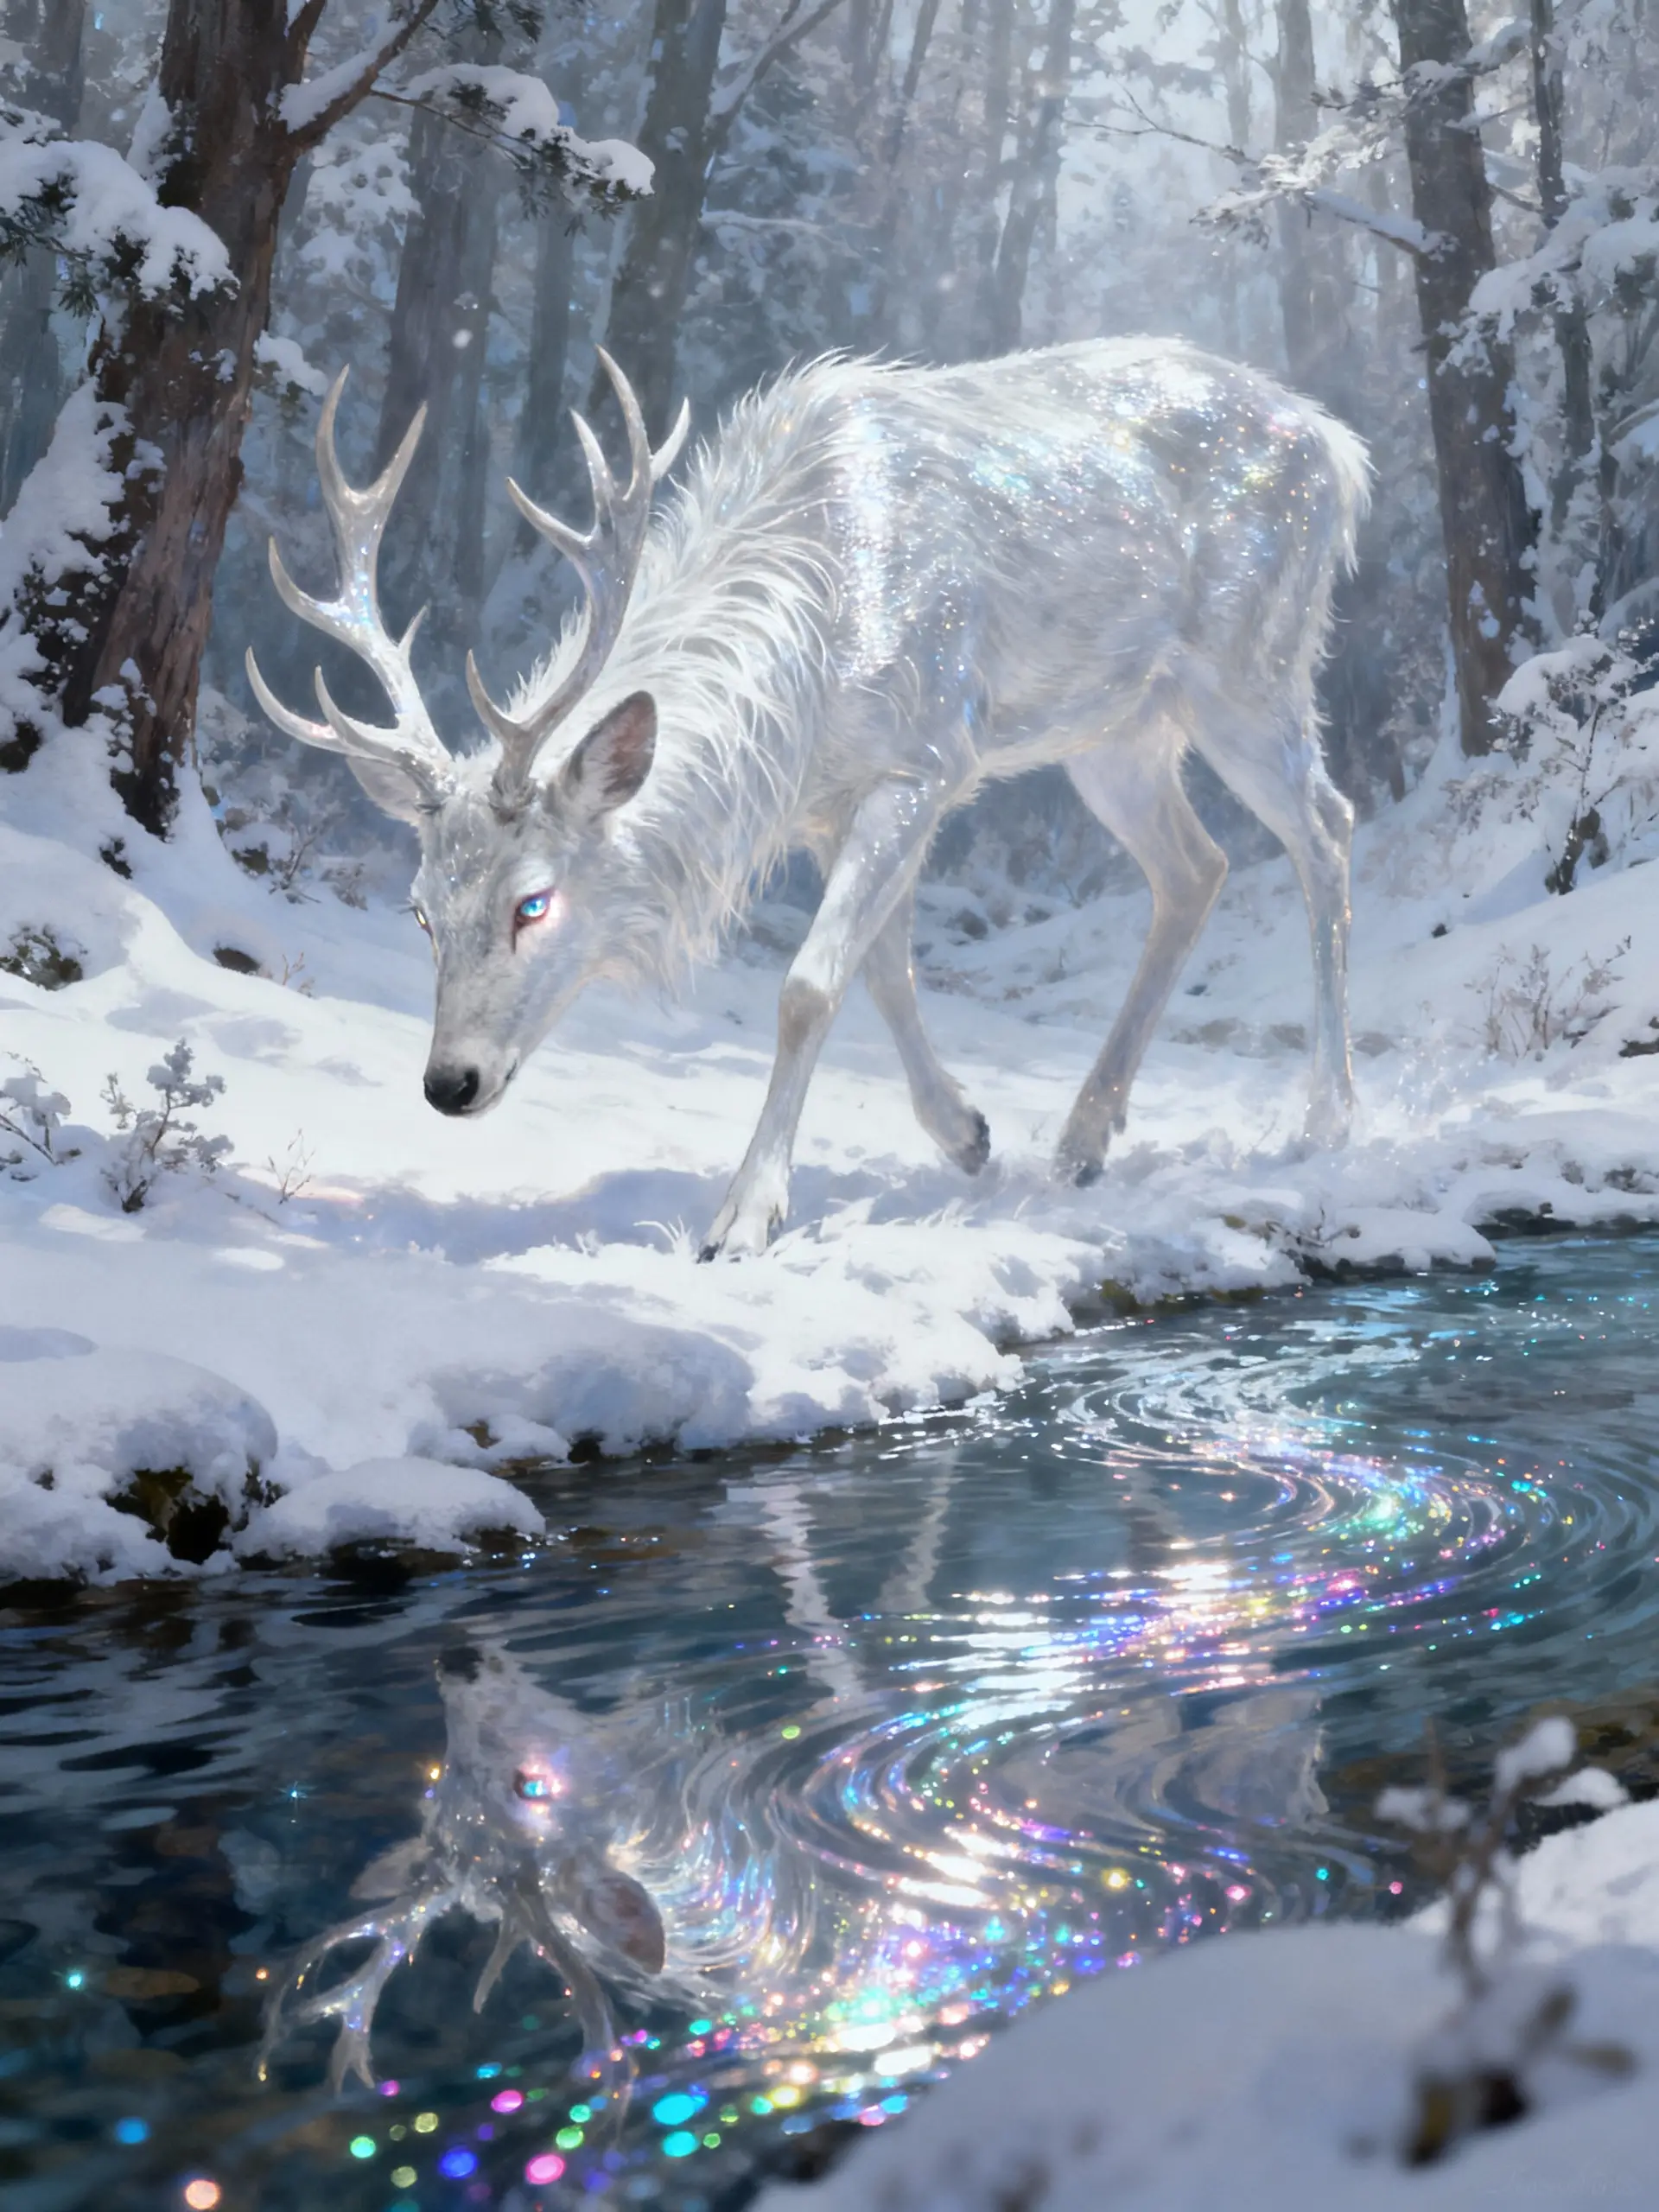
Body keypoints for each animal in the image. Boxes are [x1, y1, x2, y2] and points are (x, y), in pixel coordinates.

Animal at [249, 340, 1369, 1259]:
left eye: (535, 900)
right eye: (421, 911)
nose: (451, 1082)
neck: (809, 665)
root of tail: (1337, 444)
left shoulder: (926, 753)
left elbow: (809, 983)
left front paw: (742, 1218)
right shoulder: (836, 800)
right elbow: (881, 968)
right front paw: (968, 1135)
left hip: (1251, 665)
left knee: (1326, 828)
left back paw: (1327, 1119)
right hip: (1117, 729)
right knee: (1197, 865)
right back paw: (1084, 1137)